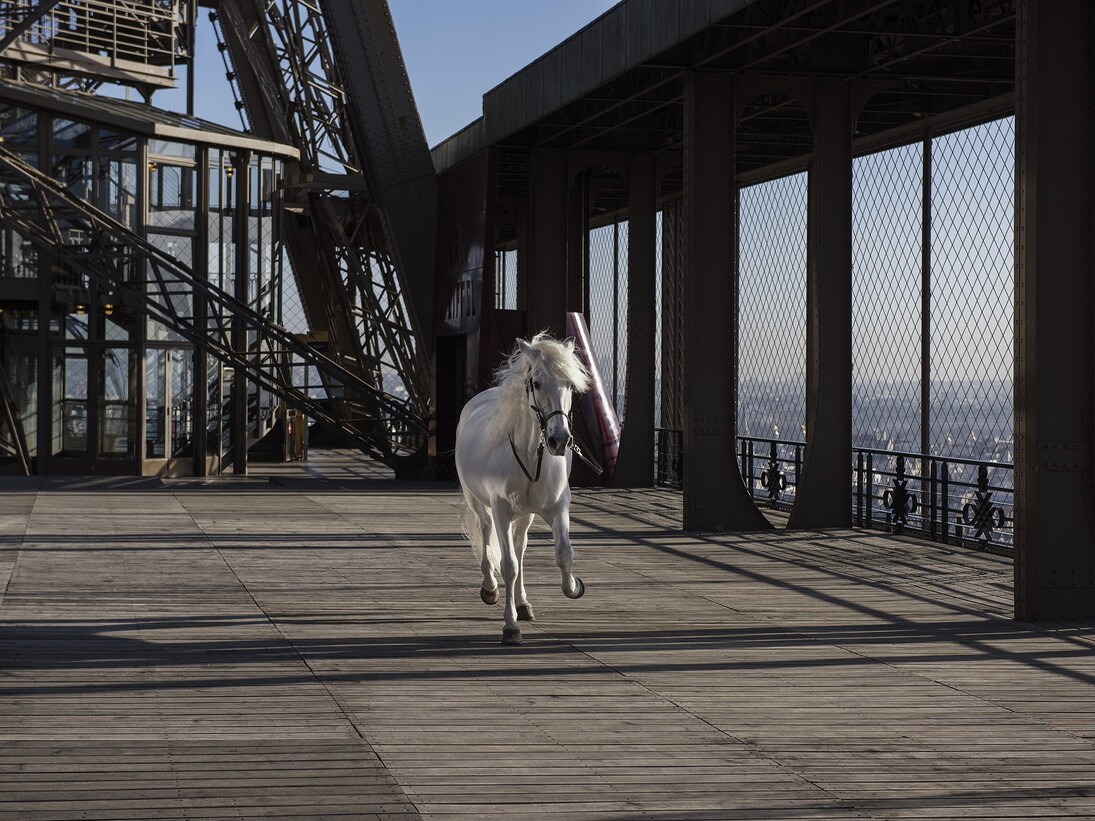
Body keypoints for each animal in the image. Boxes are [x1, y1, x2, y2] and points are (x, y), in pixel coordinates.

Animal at [455, 332, 593, 645]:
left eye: (569, 384)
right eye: (537, 383)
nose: (559, 441)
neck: (531, 456)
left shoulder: (558, 507)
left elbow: (563, 553)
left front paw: (574, 587)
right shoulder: (501, 509)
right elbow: (508, 566)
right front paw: (510, 627)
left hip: (526, 515)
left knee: (519, 548)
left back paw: (523, 604)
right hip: (477, 501)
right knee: (487, 534)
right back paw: (490, 589)